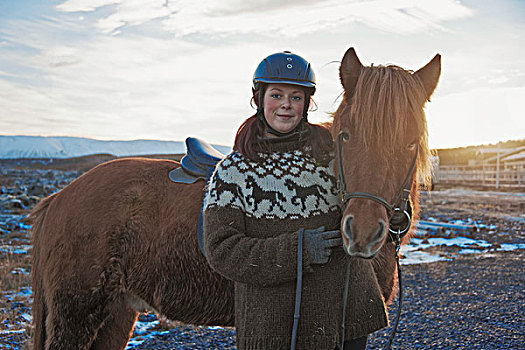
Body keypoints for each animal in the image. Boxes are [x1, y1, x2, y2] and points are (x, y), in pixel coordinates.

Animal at [28, 47, 438, 350]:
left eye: (410, 141)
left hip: (116, 312)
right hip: (78, 315)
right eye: (346, 135)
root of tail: (59, 198)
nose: (363, 232)